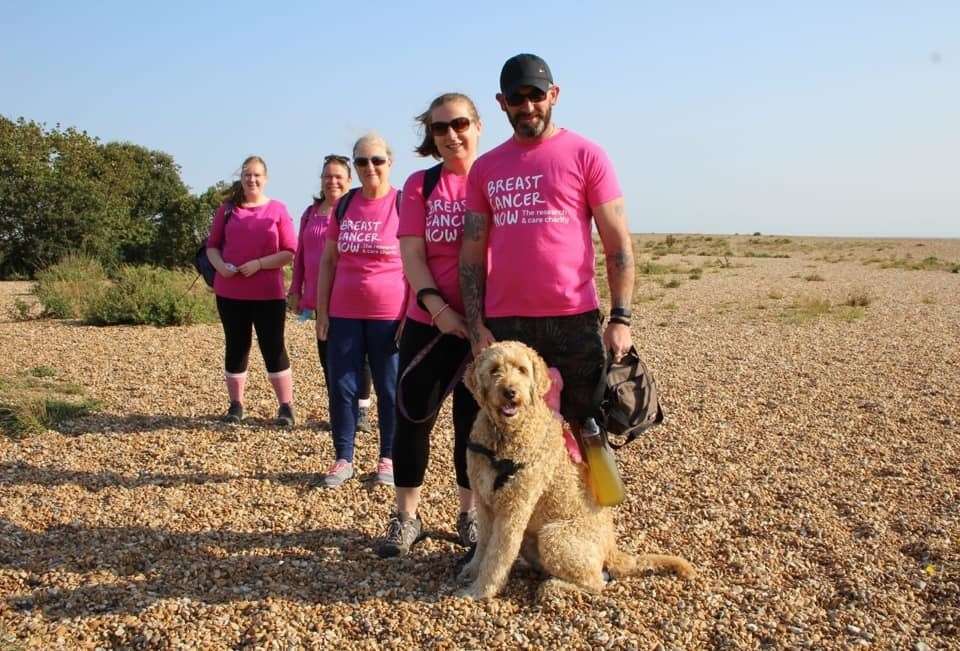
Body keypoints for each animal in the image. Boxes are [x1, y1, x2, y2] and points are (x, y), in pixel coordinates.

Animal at [458, 342, 688, 600]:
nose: (510, 392)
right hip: (533, 539)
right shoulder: (484, 502)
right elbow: (483, 546)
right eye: (495, 370)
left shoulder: (514, 508)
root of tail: (612, 548)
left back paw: (553, 587)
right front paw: (472, 570)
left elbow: (497, 555)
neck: (503, 438)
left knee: (596, 582)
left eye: (522, 370)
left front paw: (481, 590)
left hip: (554, 537)